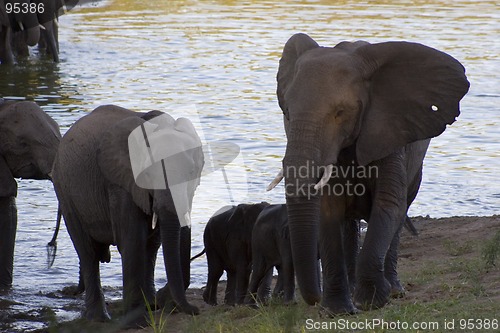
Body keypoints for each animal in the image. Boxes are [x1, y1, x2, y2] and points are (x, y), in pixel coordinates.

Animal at [52, 104, 203, 322]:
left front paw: (150, 307)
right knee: (87, 252)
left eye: (192, 173)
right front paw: (138, 321)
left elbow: (152, 241)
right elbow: (132, 240)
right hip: (64, 190)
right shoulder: (120, 182)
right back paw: (99, 318)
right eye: (149, 174)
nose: (195, 310)